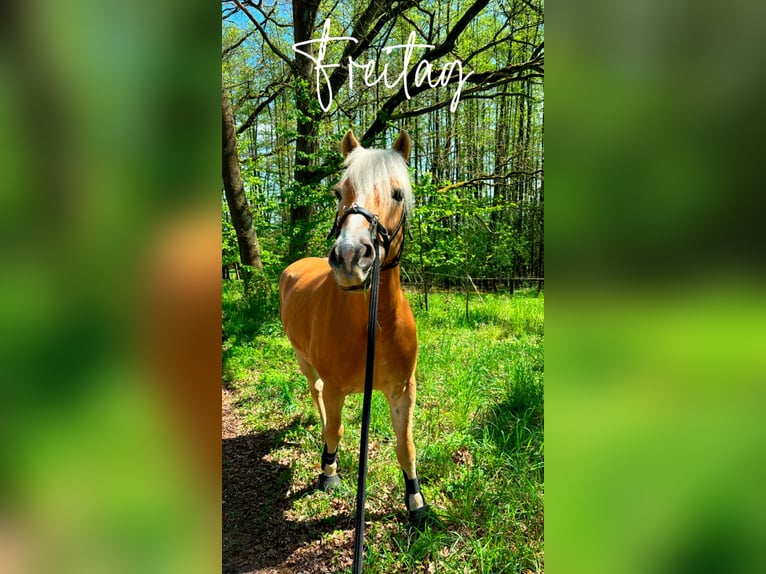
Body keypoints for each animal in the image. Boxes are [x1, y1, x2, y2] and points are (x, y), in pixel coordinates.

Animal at [279, 129, 429, 525]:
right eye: (338, 192)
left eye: (397, 193)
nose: (349, 257)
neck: (374, 323)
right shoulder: (336, 388)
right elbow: (336, 428)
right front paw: (328, 472)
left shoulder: (402, 391)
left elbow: (405, 446)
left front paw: (415, 501)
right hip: (303, 360)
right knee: (316, 394)